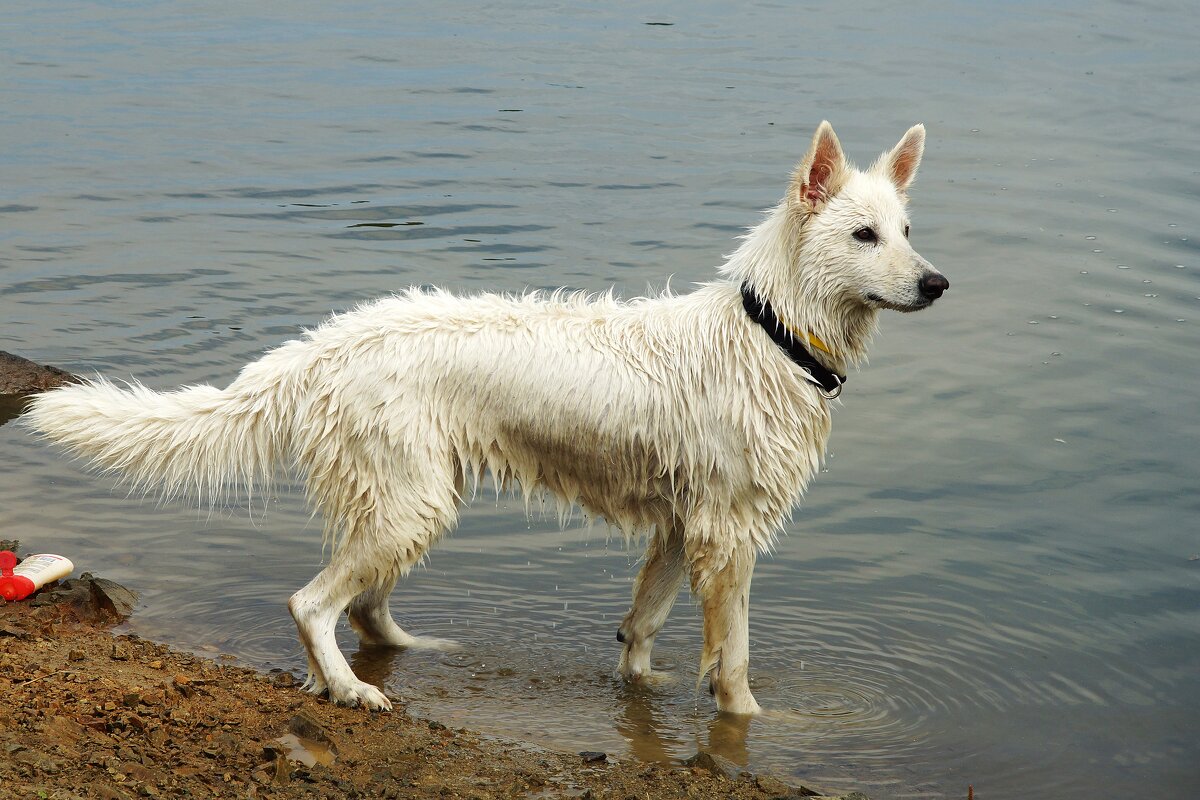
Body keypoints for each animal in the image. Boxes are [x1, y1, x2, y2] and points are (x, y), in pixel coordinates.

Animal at [23, 122, 950, 714]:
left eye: (907, 229)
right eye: (864, 236)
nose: (937, 284)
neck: (771, 332)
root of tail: (320, 347)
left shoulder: (680, 526)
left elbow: (642, 625)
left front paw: (642, 686)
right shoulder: (729, 537)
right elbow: (734, 662)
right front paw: (751, 722)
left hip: (410, 496)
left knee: (363, 607)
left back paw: (405, 658)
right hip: (410, 500)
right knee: (311, 603)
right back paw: (352, 689)